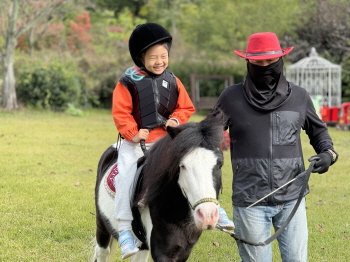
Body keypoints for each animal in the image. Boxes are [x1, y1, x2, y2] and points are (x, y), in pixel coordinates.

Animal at [90, 114, 226, 262]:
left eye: (220, 164)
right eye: (182, 165)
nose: (207, 215)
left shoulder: (184, 251)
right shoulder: (162, 252)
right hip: (102, 225)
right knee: (102, 252)